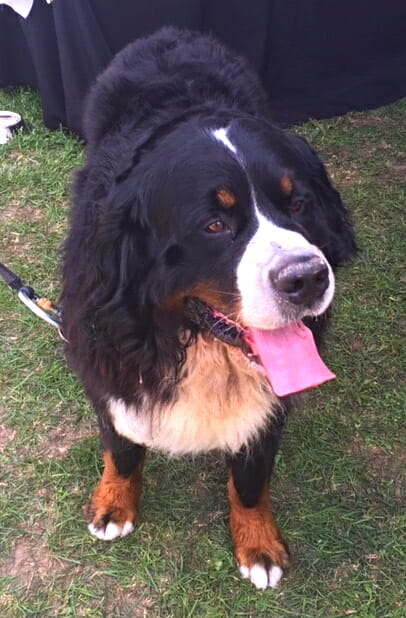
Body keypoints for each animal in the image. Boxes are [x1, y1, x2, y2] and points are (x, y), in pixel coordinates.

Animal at [61, 27, 356, 588]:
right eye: (215, 225)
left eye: (299, 203)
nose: (307, 278)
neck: (191, 343)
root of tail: (170, 34)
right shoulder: (105, 360)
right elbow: (123, 447)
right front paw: (114, 504)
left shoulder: (270, 405)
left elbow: (251, 479)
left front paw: (258, 544)